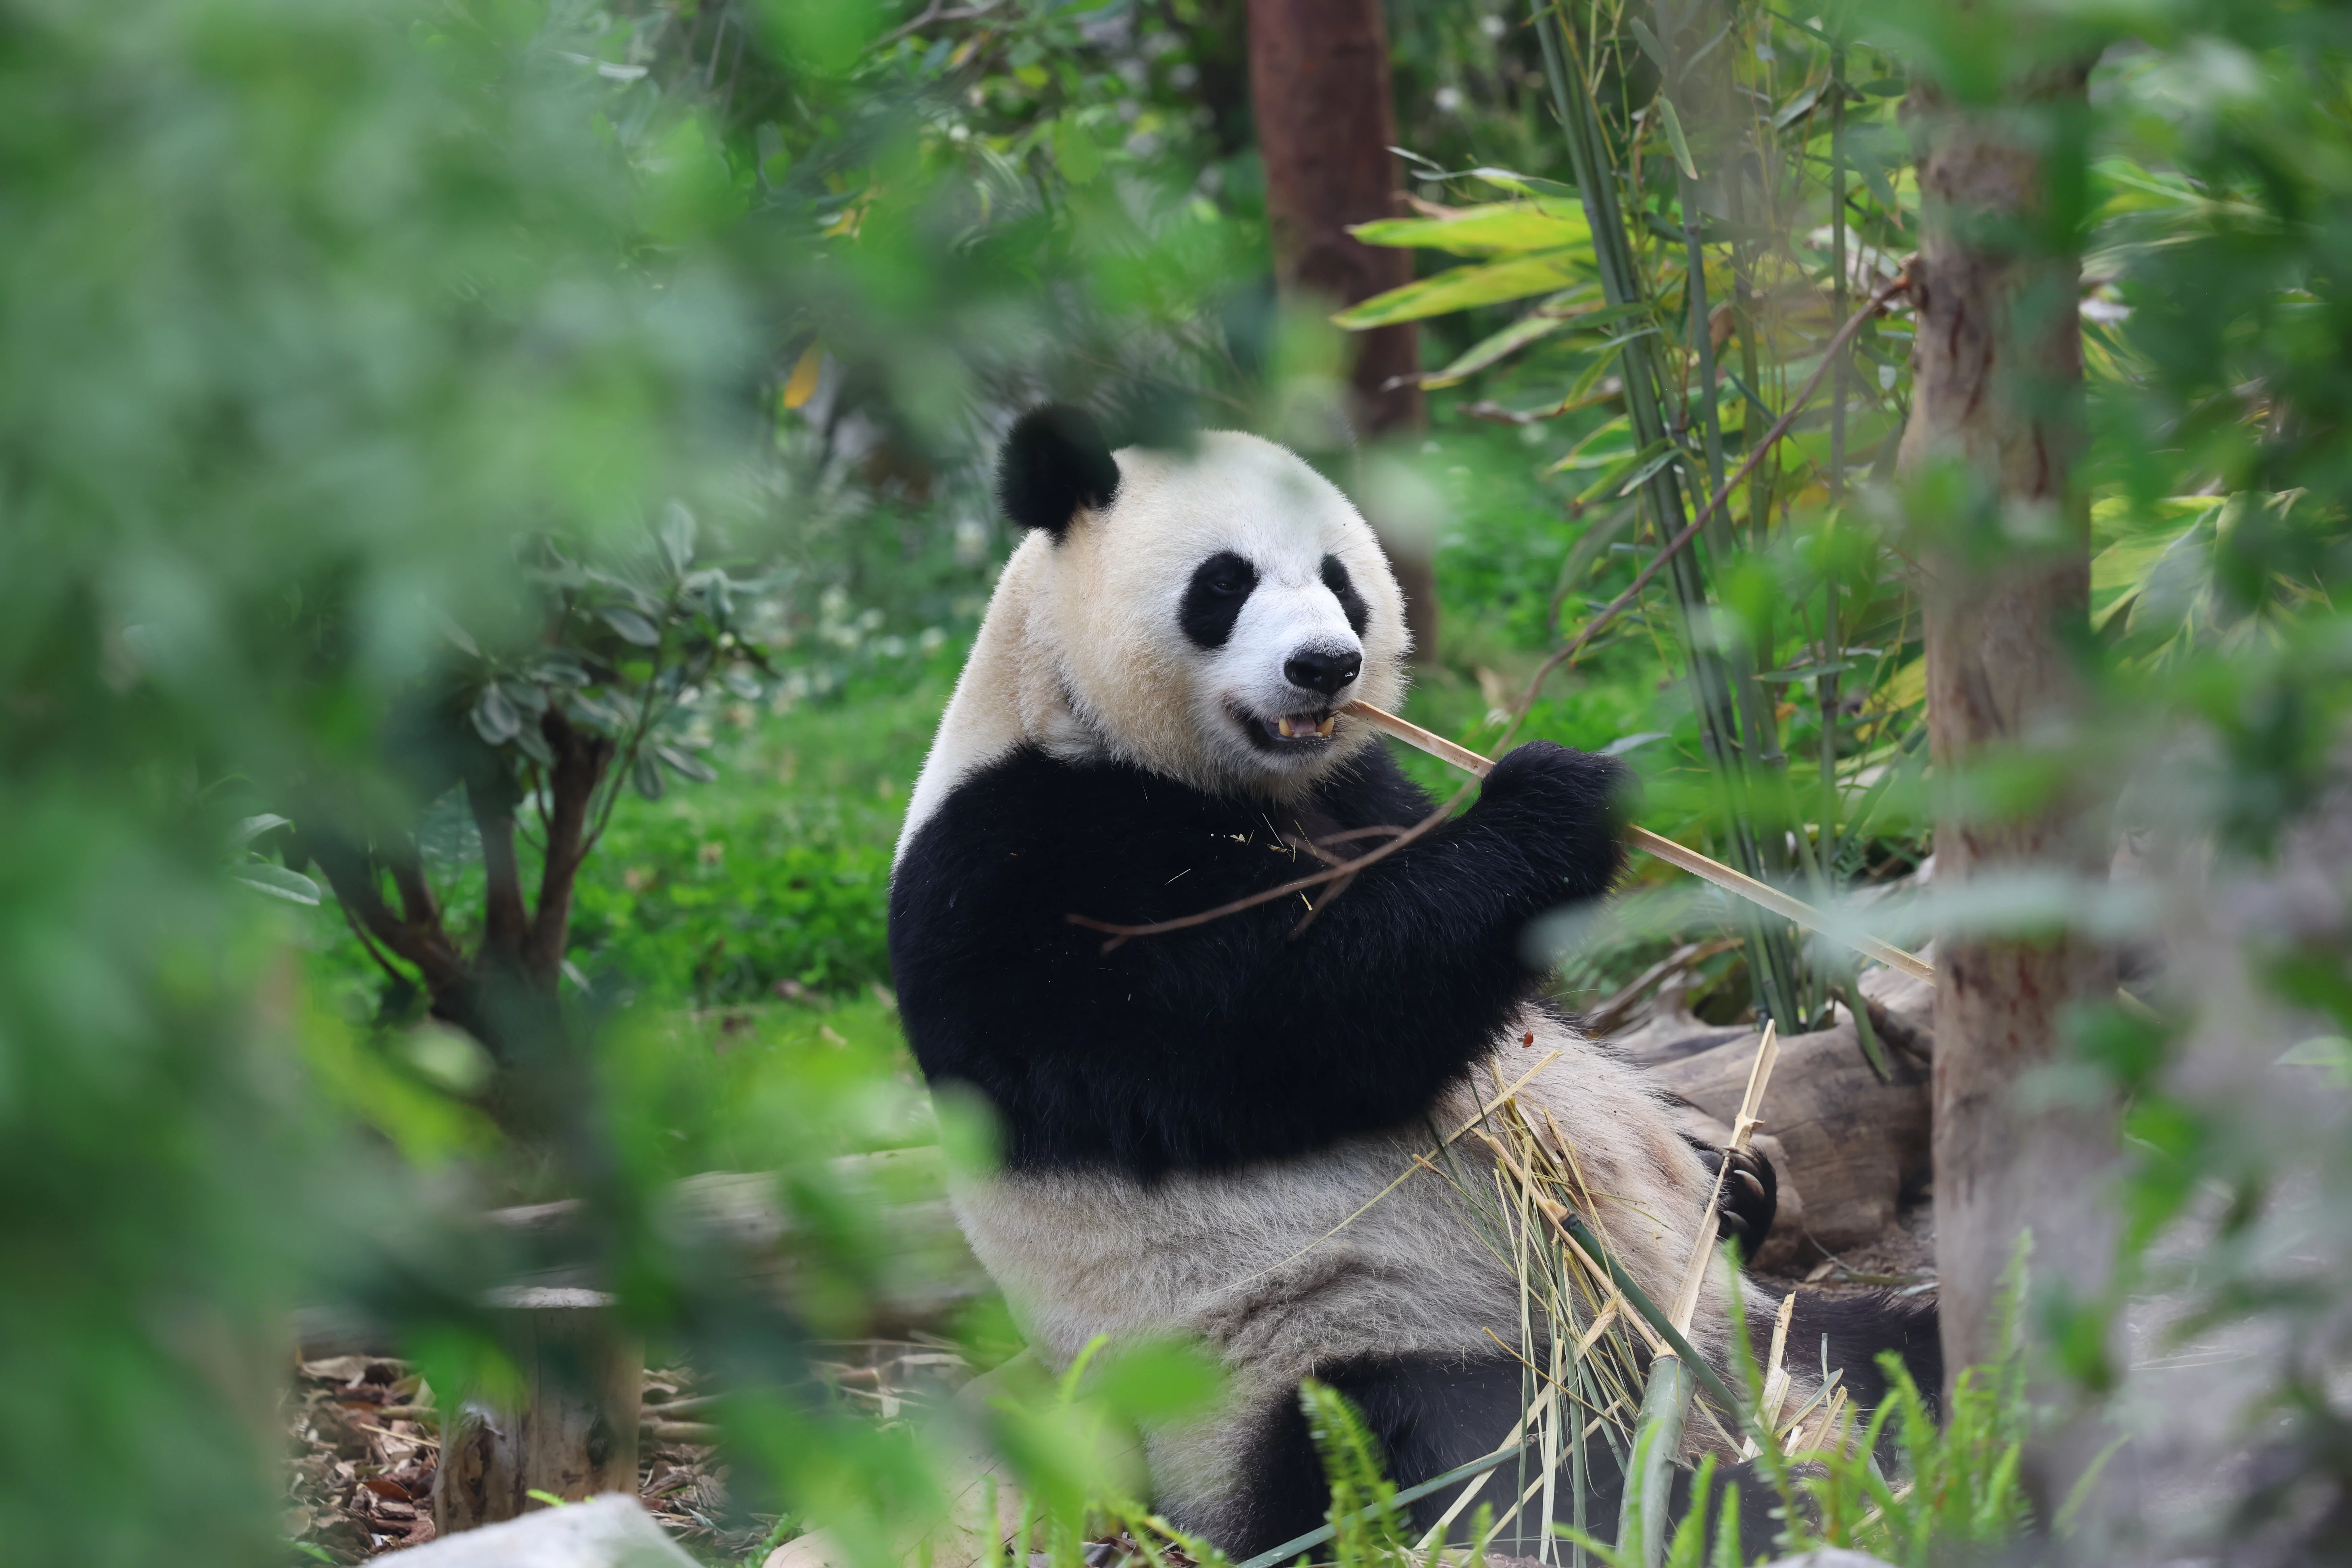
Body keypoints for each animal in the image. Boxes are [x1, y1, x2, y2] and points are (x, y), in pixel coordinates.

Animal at [887, 405, 1936, 1555]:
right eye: (1223, 583)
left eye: (1341, 580)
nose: (1325, 666)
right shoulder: (1025, 867)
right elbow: (1295, 1020)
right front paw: (1560, 797)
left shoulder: (1361, 789)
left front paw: (1733, 1167)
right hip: (1326, 1347)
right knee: (1500, 1455)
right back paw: (1754, 1499)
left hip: (1747, 1317)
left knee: (1890, 1343)